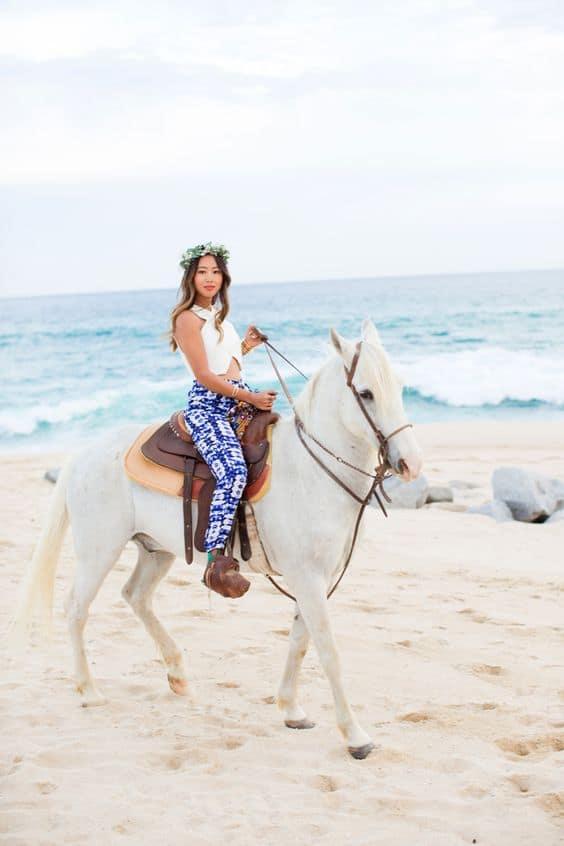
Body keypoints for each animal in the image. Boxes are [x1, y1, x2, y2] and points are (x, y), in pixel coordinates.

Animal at [8, 318, 420, 760]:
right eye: (366, 393)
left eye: (399, 386)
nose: (411, 464)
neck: (311, 471)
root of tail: (83, 453)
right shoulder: (308, 579)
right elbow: (328, 651)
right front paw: (355, 735)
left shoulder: (315, 581)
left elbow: (299, 641)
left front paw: (291, 709)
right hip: (98, 550)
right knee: (76, 609)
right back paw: (89, 690)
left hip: (155, 550)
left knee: (135, 596)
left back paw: (177, 674)